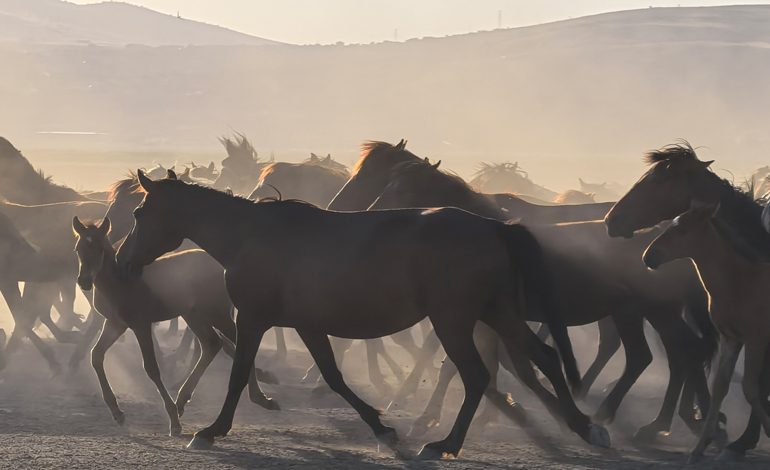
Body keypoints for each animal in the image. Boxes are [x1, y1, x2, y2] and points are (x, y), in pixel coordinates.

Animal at [70, 218, 278, 436]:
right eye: (78, 249)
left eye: (100, 249)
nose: (84, 282)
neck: (119, 281)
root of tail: (222, 267)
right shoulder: (115, 323)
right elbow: (96, 355)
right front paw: (118, 413)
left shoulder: (140, 324)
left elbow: (151, 368)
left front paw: (174, 422)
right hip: (193, 314)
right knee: (211, 344)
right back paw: (183, 400)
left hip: (216, 314)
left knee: (236, 343)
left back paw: (260, 398)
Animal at [115, 170, 608, 458]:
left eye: (139, 212)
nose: (121, 260)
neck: (251, 237)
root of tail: (494, 226)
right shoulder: (307, 325)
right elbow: (333, 377)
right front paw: (382, 427)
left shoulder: (252, 319)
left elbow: (240, 374)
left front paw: (211, 429)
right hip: (496, 312)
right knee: (543, 357)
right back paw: (585, 427)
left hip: (454, 321)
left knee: (477, 376)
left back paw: (445, 443)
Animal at [368, 157, 716, 440]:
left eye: (400, 189)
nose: (371, 214)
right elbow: (503, 363)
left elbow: (458, 363)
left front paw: (427, 415)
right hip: (637, 313)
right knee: (669, 355)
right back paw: (670, 418)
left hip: (655, 312)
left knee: (676, 353)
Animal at [640, 202, 770, 462]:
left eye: (681, 230)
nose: (648, 256)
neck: (741, 282)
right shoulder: (732, 340)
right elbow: (720, 387)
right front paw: (700, 448)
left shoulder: (756, 340)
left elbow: (751, 388)